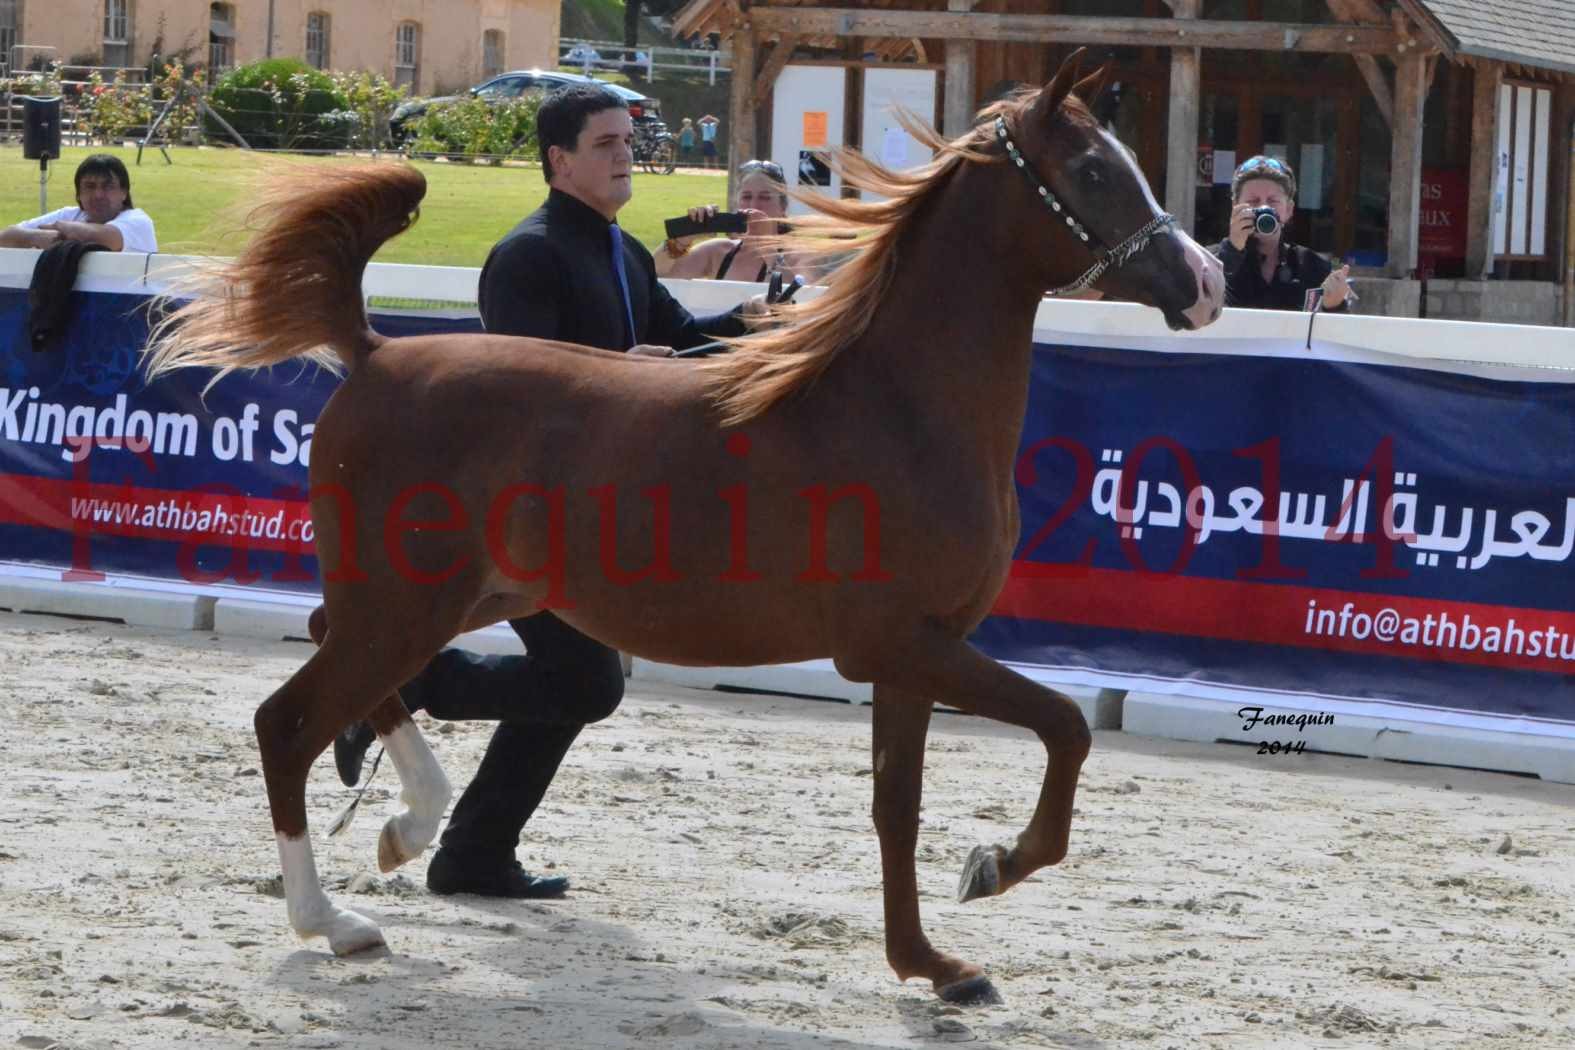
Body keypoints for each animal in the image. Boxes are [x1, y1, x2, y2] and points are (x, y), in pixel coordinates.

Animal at [148, 59, 1222, 1007]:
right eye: (1092, 171)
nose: (1205, 281)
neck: (896, 408)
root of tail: (373, 352)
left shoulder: (913, 660)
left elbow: (896, 808)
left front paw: (932, 965)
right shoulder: (904, 646)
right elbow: (1065, 728)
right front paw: (992, 866)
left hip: (447, 601)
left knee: (347, 663)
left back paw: (405, 826)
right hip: (404, 606)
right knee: (287, 722)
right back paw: (334, 921)